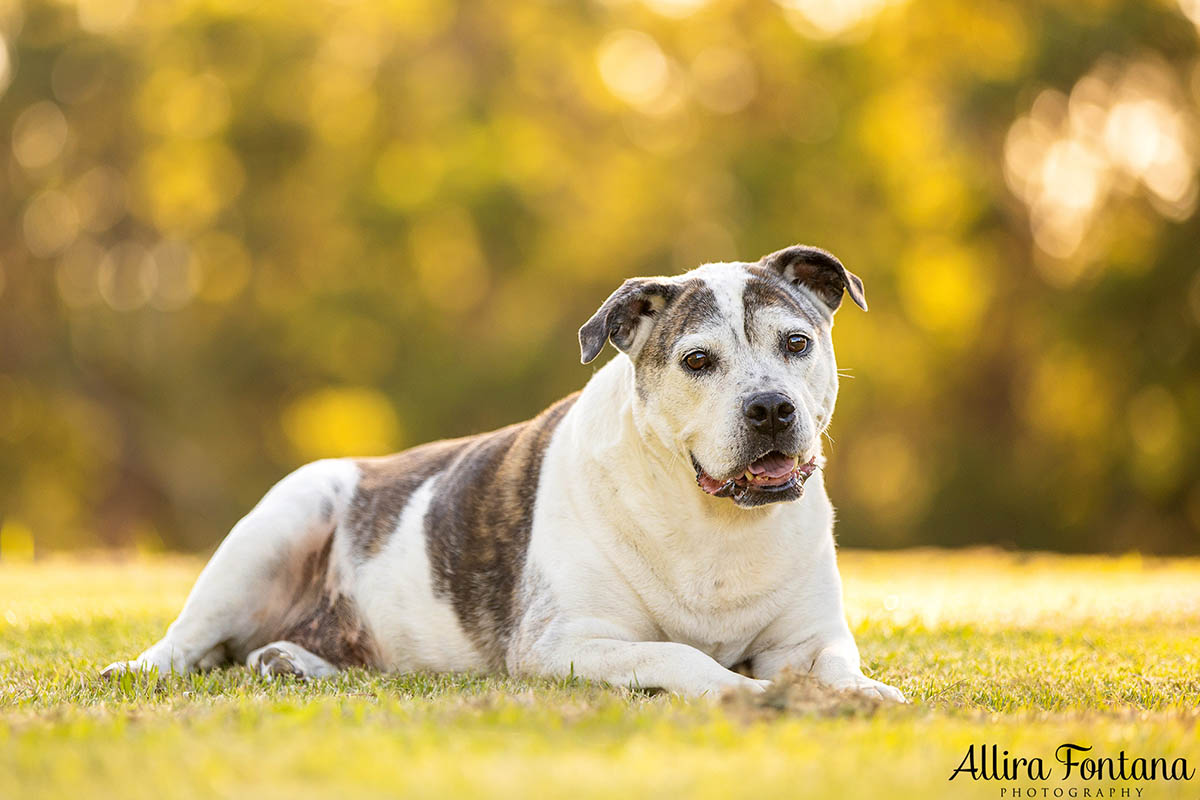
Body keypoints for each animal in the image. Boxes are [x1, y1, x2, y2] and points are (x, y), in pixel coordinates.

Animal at [103, 245, 902, 700]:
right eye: (697, 360)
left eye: (796, 343)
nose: (770, 407)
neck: (715, 520)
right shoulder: (568, 643)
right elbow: (683, 658)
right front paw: (745, 694)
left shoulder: (807, 639)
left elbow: (835, 666)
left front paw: (865, 694)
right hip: (282, 520)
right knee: (187, 640)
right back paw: (145, 669)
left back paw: (293, 664)